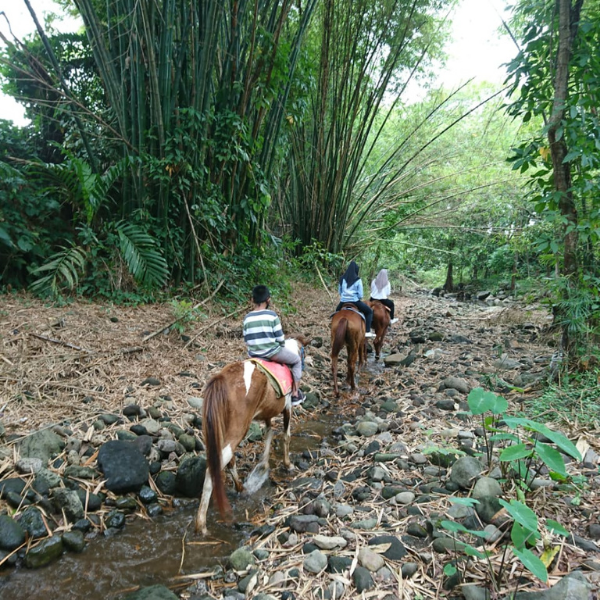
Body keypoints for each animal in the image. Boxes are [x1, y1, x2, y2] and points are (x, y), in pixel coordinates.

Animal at [196, 336, 310, 536]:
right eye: (302, 353)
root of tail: (222, 378)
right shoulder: (287, 407)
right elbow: (285, 436)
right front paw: (288, 465)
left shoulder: (267, 415)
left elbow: (269, 435)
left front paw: (263, 466)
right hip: (238, 427)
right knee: (216, 467)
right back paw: (201, 524)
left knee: (227, 460)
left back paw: (241, 488)